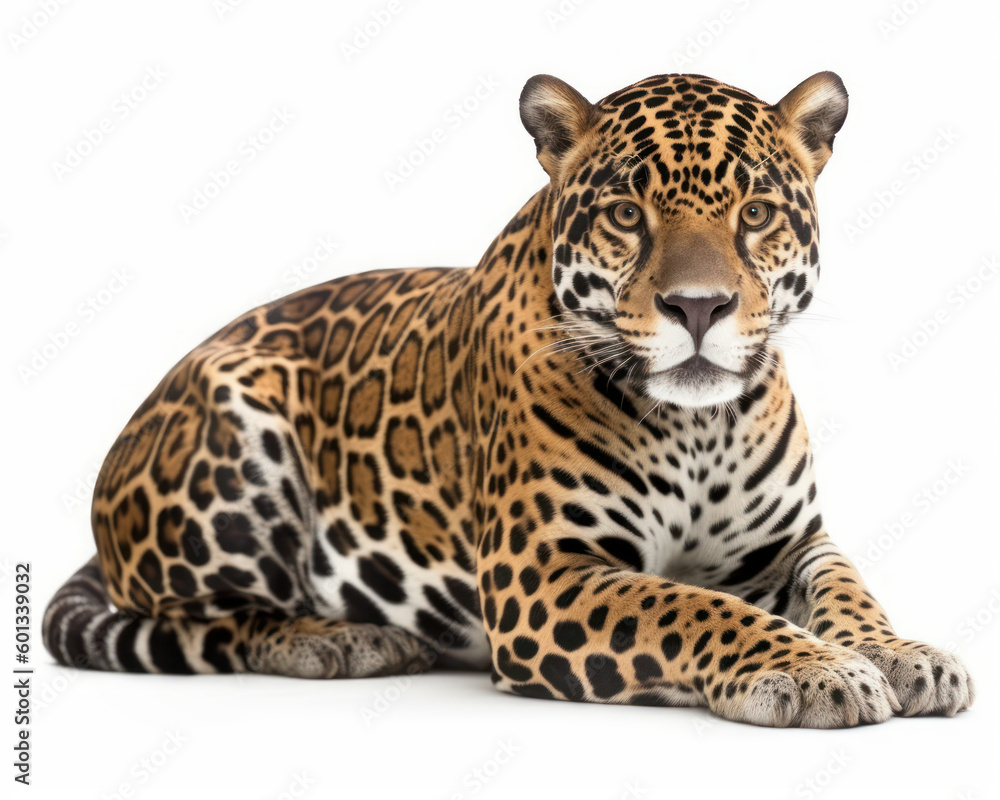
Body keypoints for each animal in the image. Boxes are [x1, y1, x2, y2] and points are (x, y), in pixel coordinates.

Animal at [43, 69, 974, 727]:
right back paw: (346, 638)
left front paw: (902, 653)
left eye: (755, 213)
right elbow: (689, 605)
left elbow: (846, 588)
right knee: (211, 617)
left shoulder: (787, 546)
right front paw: (811, 668)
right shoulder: (542, 571)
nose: (698, 307)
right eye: (627, 214)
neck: (699, 427)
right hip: (237, 432)